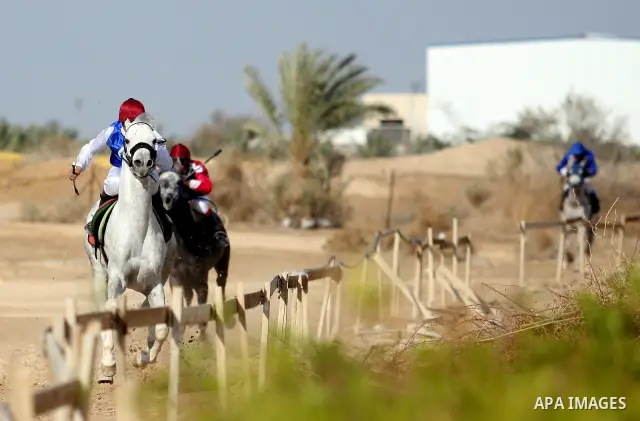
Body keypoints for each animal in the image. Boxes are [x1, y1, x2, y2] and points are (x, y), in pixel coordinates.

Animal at [83, 113, 176, 383]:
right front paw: (108, 366)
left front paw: (143, 357)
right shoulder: (116, 280)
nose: (143, 162)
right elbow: (109, 313)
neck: (135, 229)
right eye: (126, 140)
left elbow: (162, 327)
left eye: (155, 140)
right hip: (98, 274)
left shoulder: (154, 281)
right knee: (103, 308)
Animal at [158, 169, 230, 340]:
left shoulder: (201, 278)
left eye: (178, 183)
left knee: (221, 281)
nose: (167, 200)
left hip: (222, 263)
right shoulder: (176, 277)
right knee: (189, 295)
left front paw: (202, 339)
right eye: (159, 182)